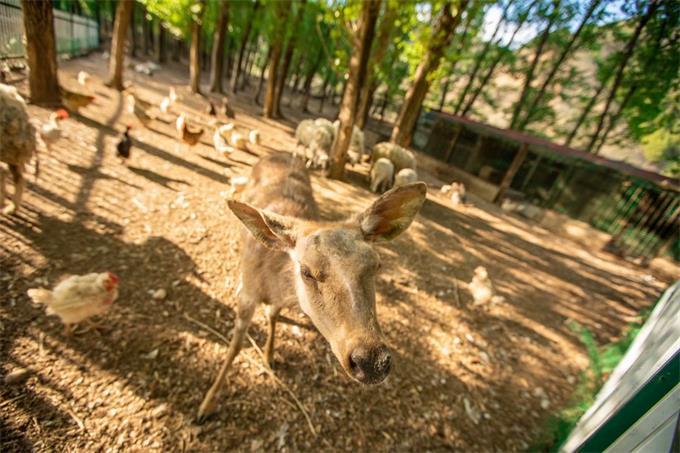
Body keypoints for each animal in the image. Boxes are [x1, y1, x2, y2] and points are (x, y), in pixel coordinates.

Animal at [197, 154, 428, 422]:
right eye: (306, 271)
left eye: (376, 264)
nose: (372, 362)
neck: (271, 284)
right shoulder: (249, 295)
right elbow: (235, 346)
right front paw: (206, 406)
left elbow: (273, 315)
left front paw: (269, 357)